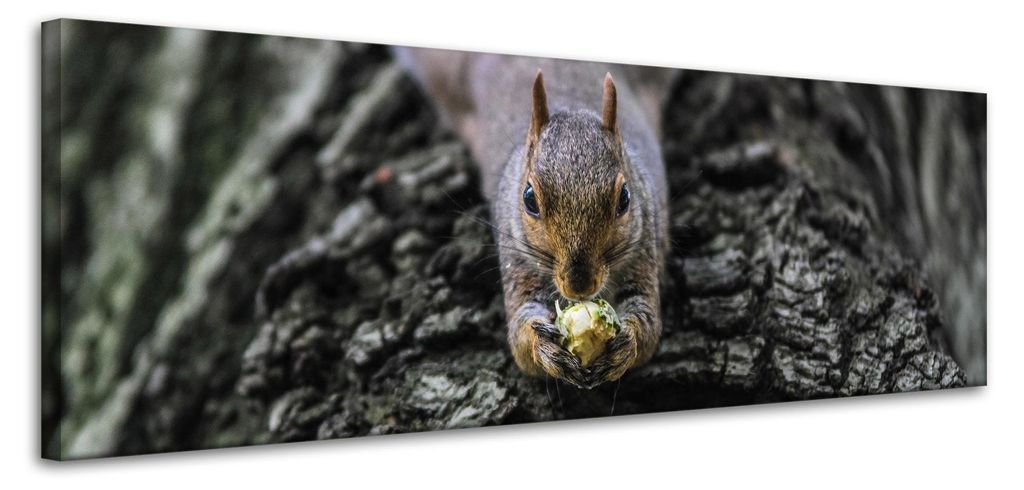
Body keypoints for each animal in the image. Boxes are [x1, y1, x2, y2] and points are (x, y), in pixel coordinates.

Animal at [394, 47, 674, 389]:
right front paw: (543, 347)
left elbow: (648, 325)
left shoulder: (644, 249)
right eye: (529, 198)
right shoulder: (518, 263)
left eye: (625, 198)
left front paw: (627, 344)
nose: (579, 285)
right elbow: (520, 336)